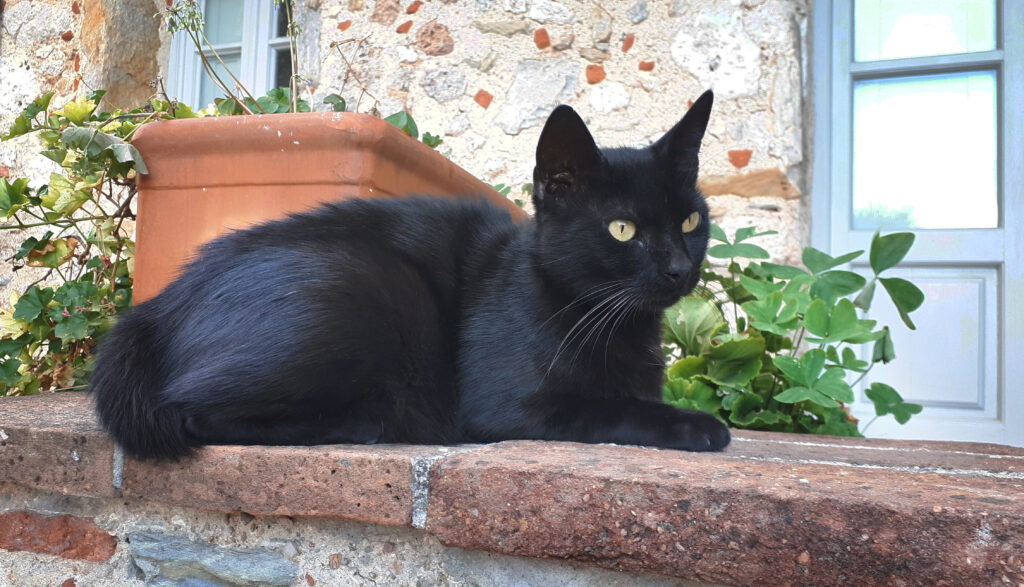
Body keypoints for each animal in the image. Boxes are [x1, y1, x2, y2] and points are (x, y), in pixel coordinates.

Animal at [90, 90, 729, 456]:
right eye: (623, 229)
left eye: (691, 220)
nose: (678, 268)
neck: (614, 325)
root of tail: (155, 309)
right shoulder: (506, 405)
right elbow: (608, 408)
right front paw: (696, 424)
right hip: (364, 287)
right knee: (191, 411)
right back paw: (362, 422)